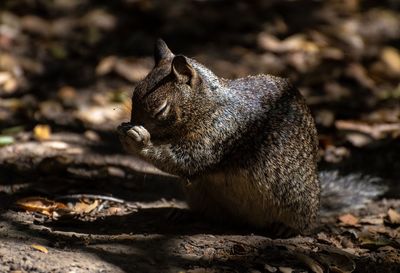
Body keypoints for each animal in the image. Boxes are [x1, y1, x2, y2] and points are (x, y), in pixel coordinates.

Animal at [118, 38, 388, 236]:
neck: (209, 107)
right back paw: (184, 214)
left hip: (297, 199)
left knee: (306, 224)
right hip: (200, 195)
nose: (133, 122)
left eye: (161, 109)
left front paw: (139, 140)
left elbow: (188, 160)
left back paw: (287, 228)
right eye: (133, 93)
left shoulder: (222, 133)